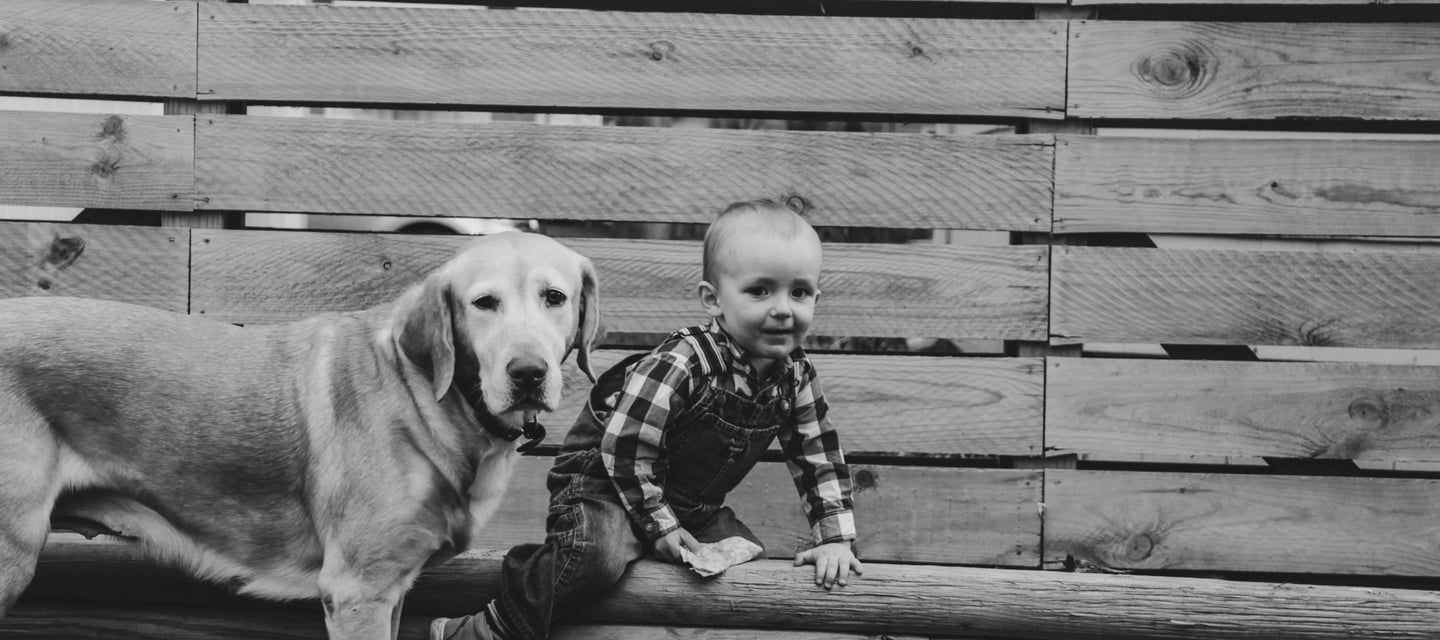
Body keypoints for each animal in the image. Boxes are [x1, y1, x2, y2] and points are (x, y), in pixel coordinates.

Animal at [0, 232, 600, 639]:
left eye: (554, 297)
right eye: (483, 303)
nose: (529, 373)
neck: (428, 393)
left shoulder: (391, 590)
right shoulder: (358, 591)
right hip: (13, 550)